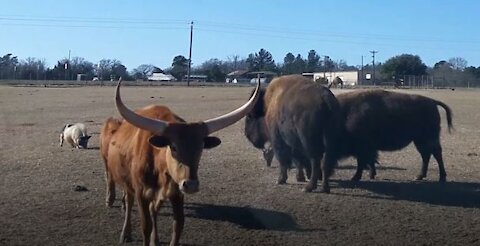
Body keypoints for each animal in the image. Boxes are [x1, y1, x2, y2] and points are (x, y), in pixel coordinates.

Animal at [101, 80, 258, 245]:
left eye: (201, 147)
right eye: (174, 147)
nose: (191, 184)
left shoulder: (177, 194)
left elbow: (178, 225)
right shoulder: (141, 192)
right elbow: (146, 226)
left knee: (153, 209)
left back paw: (154, 239)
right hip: (126, 181)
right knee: (128, 202)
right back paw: (125, 232)